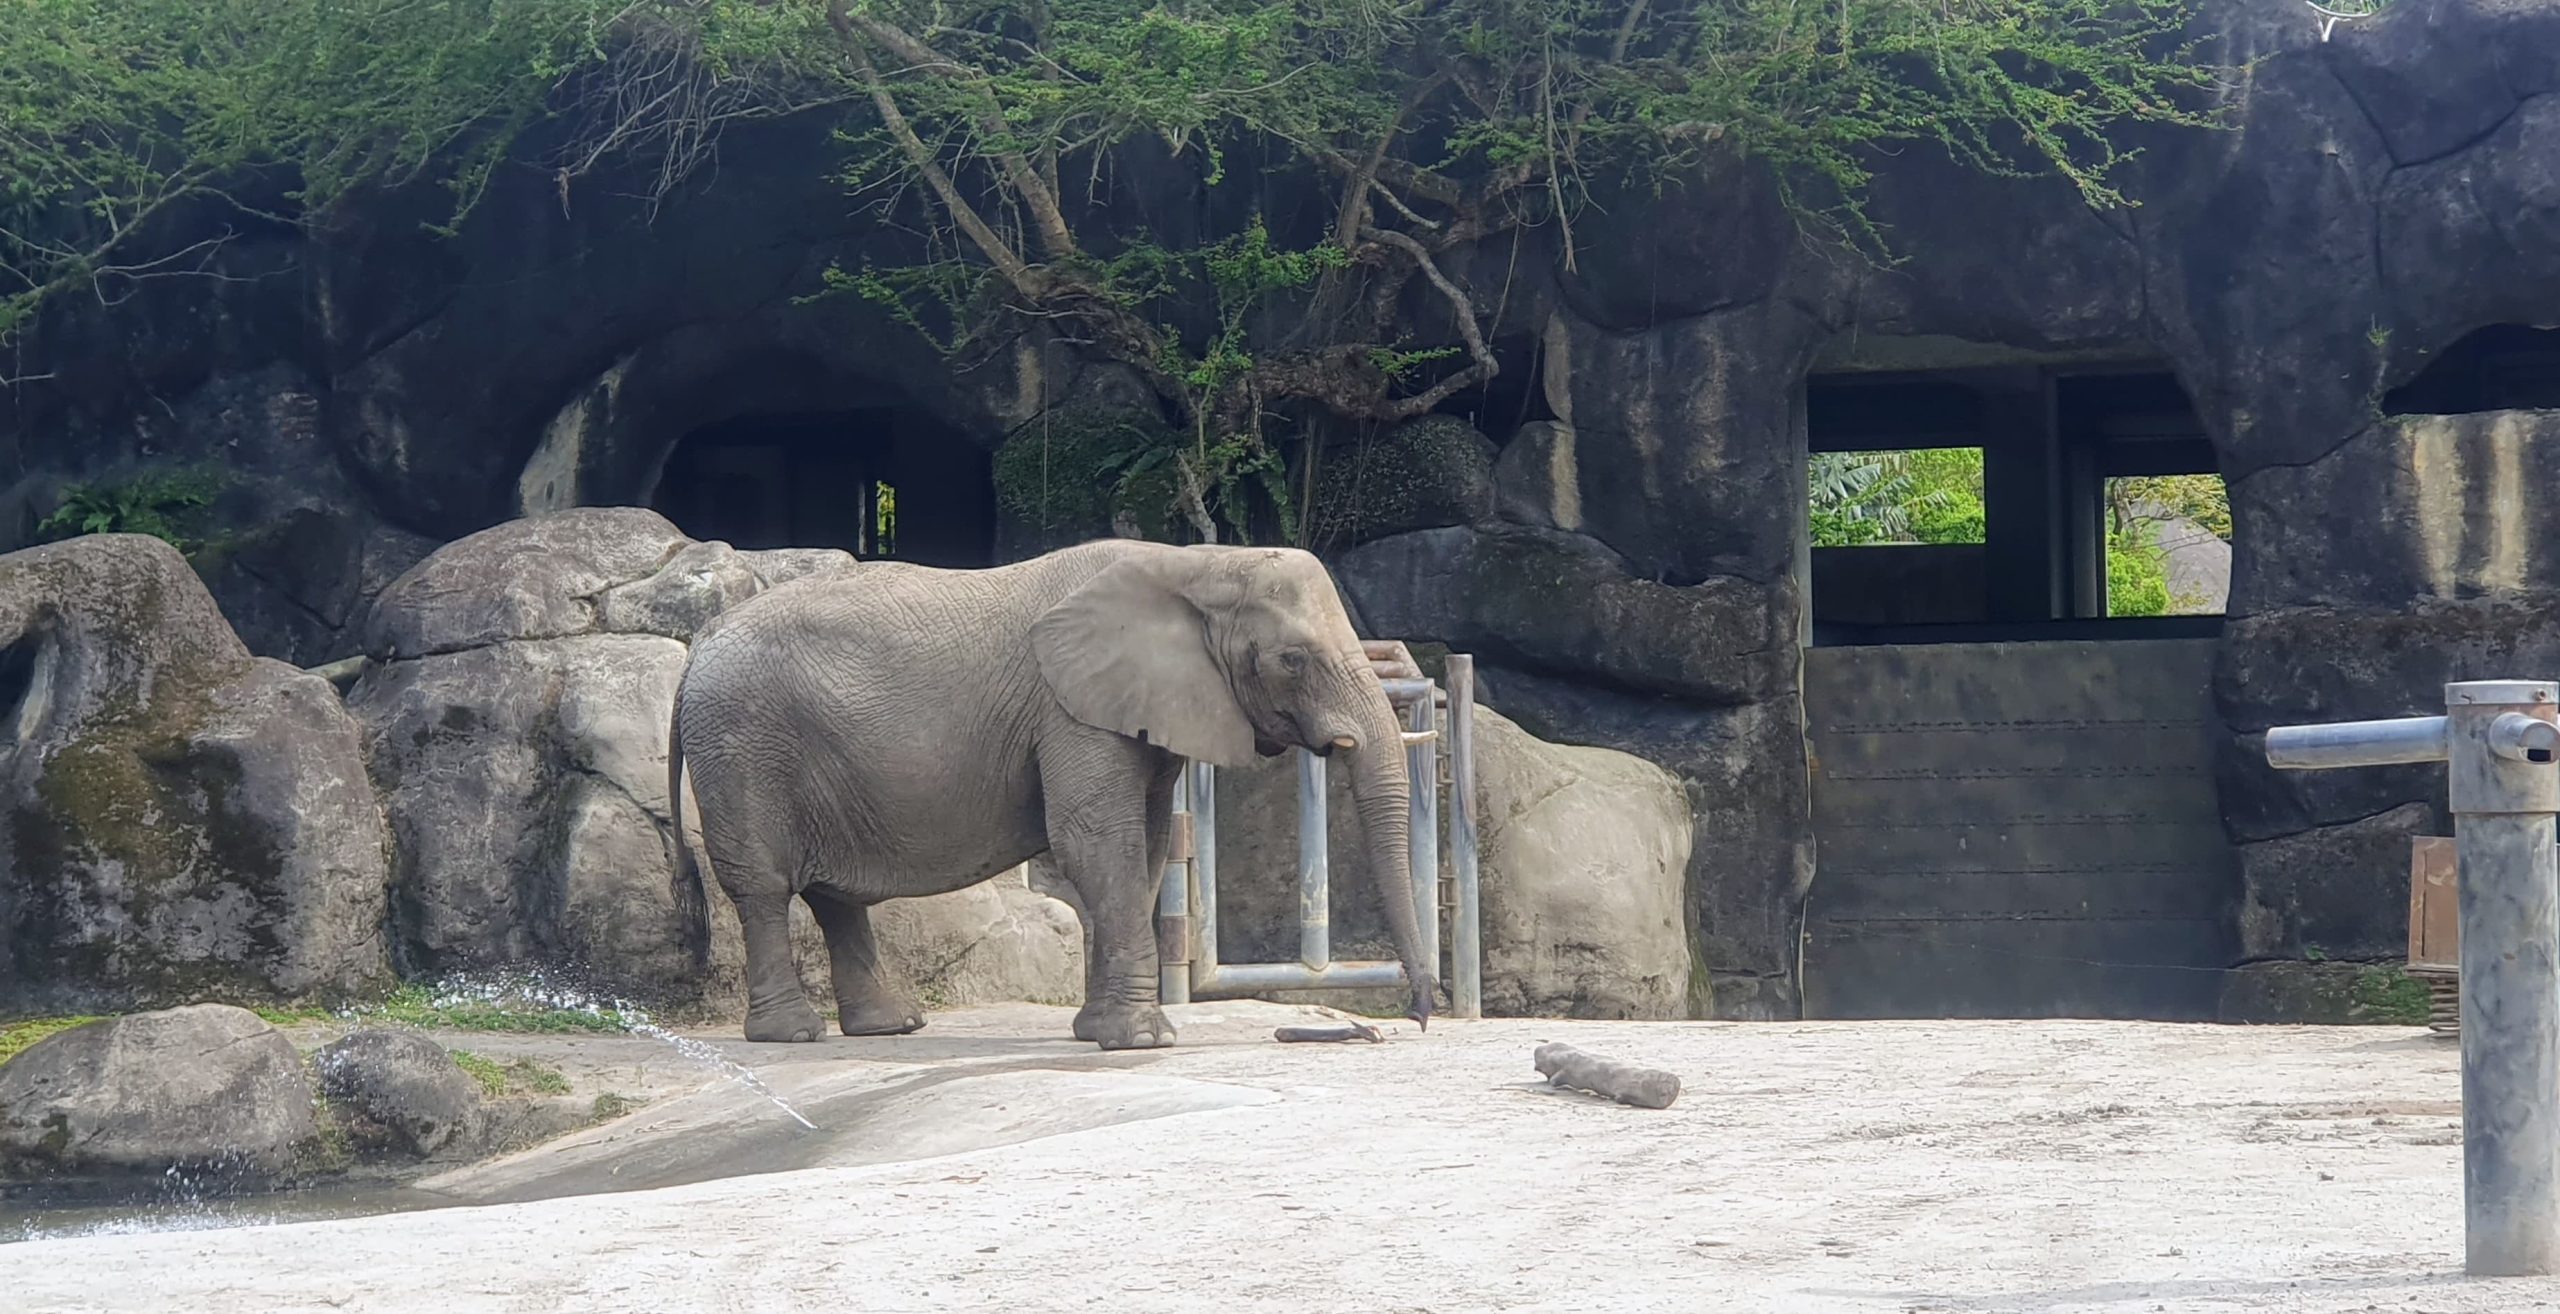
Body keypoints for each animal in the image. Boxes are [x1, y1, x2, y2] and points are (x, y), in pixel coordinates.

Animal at [665, 532, 1443, 1045]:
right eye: (1291, 660)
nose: (1416, 1017)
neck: (1197, 561)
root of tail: (698, 646)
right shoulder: (1069, 709)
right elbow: (1099, 841)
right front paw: (1142, 1041)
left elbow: (1146, 847)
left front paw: (1098, 1031)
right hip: (741, 744)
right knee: (765, 887)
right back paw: (792, 1036)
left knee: (833, 895)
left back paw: (890, 1027)